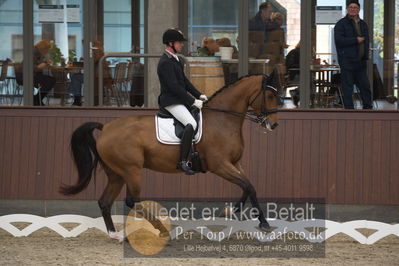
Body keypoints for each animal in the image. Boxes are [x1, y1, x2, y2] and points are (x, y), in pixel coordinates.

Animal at [61, 74, 282, 239]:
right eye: (270, 95)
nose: (273, 125)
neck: (223, 119)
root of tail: (106, 127)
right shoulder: (220, 165)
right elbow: (248, 186)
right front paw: (263, 223)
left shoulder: (235, 163)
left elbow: (248, 186)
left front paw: (232, 210)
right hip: (131, 170)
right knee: (132, 201)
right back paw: (161, 229)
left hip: (116, 174)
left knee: (105, 202)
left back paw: (116, 235)